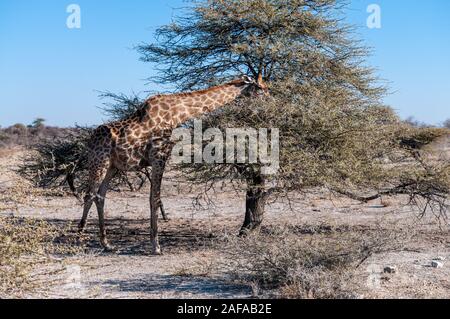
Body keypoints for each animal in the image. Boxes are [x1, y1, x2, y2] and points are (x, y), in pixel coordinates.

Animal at [78, 75, 268, 255]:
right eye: (262, 88)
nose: (270, 100)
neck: (177, 114)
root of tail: (90, 141)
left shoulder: (157, 159)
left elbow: (152, 198)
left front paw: (154, 243)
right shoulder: (159, 157)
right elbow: (155, 199)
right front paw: (156, 246)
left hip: (112, 167)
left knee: (100, 196)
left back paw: (107, 244)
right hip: (99, 162)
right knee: (89, 195)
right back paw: (79, 239)